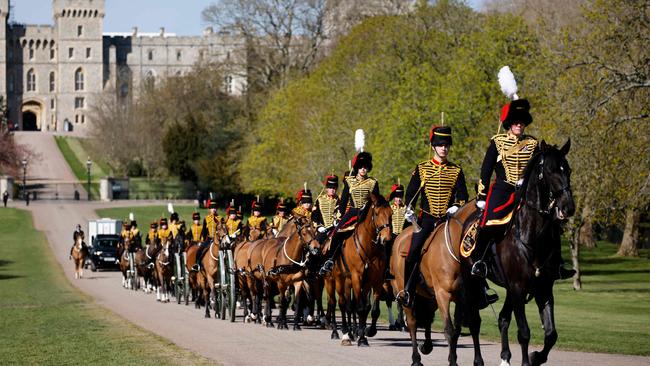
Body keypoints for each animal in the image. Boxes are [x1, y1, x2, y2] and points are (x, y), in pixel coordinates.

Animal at [324, 194, 390, 346]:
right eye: (376, 213)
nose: (386, 238)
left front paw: (366, 332)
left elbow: (370, 309)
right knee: (337, 303)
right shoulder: (356, 277)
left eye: (391, 213)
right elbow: (358, 307)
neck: (369, 248)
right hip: (335, 279)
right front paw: (360, 337)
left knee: (348, 304)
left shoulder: (374, 280)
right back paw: (340, 333)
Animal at [390, 203, 480, 366]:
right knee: (412, 323)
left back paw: (427, 346)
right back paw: (416, 359)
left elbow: (470, 325)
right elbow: (449, 330)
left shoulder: (466, 295)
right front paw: (453, 361)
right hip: (405, 291)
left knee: (428, 317)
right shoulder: (443, 294)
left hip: (430, 296)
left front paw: (476, 360)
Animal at [470, 140, 572, 366]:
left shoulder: (543, 289)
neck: (533, 235)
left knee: (502, 319)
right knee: (473, 321)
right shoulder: (518, 288)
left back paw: (505, 357)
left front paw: (536, 357)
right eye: (550, 170)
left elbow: (551, 334)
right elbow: (524, 332)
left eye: (568, 170)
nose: (568, 207)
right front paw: (528, 360)